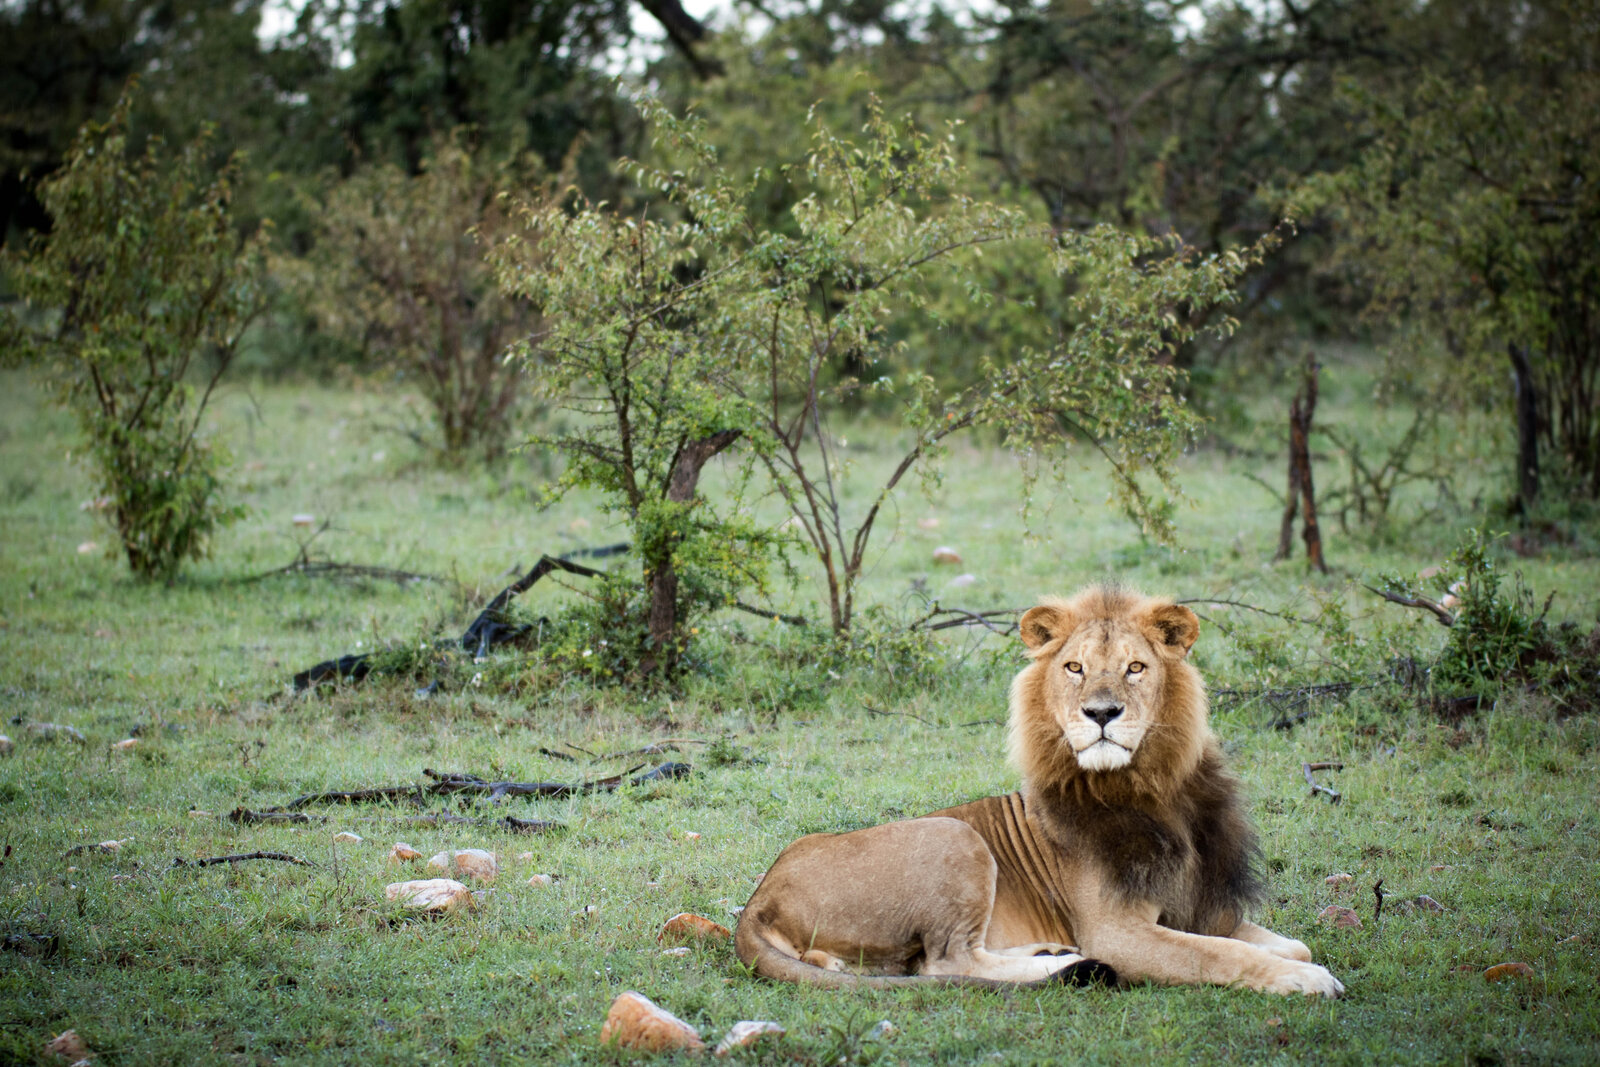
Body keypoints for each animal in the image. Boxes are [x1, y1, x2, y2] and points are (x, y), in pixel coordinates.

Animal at [734, 586, 1344, 996]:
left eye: (1136, 668)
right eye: (1074, 668)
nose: (1101, 713)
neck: (1153, 786)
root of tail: (759, 898)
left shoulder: (1197, 908)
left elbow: (1285, 940)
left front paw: (1298, 962)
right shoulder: (1116, 932)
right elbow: (1221, 956)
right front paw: (1305, 980)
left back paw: (1051, 951)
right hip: (956, 837)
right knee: (947, 964)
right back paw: (1063, 965)